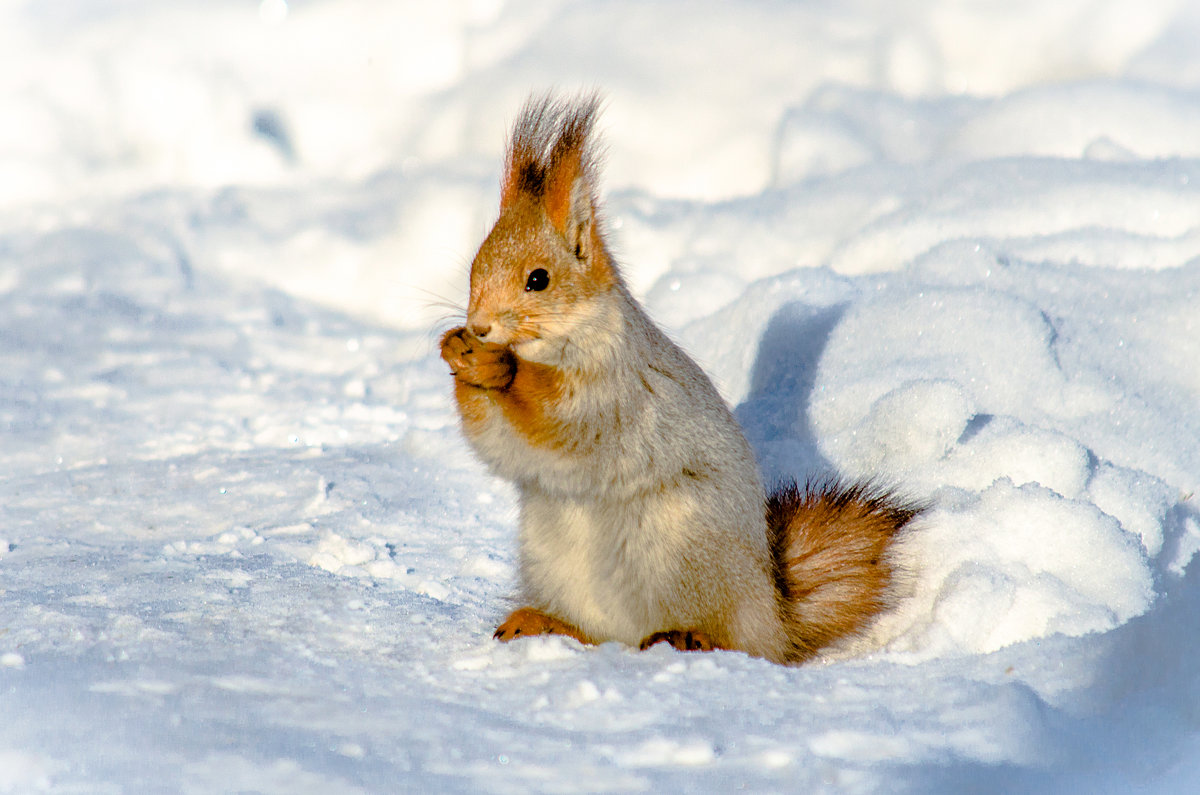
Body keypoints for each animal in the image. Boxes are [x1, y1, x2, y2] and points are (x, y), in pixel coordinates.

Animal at [441, 93, 916, 667]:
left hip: (682, 555)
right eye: (473, 267)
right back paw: (542, 623)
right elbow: (498, 441)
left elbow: (561, 417)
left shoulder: (613, 388)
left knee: (731, 641)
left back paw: (687, 637)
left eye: (539, 279)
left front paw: (504, 370)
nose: (479, 326)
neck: (558, 342)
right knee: (596, 634)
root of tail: (773, 617)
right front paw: (458, 355)